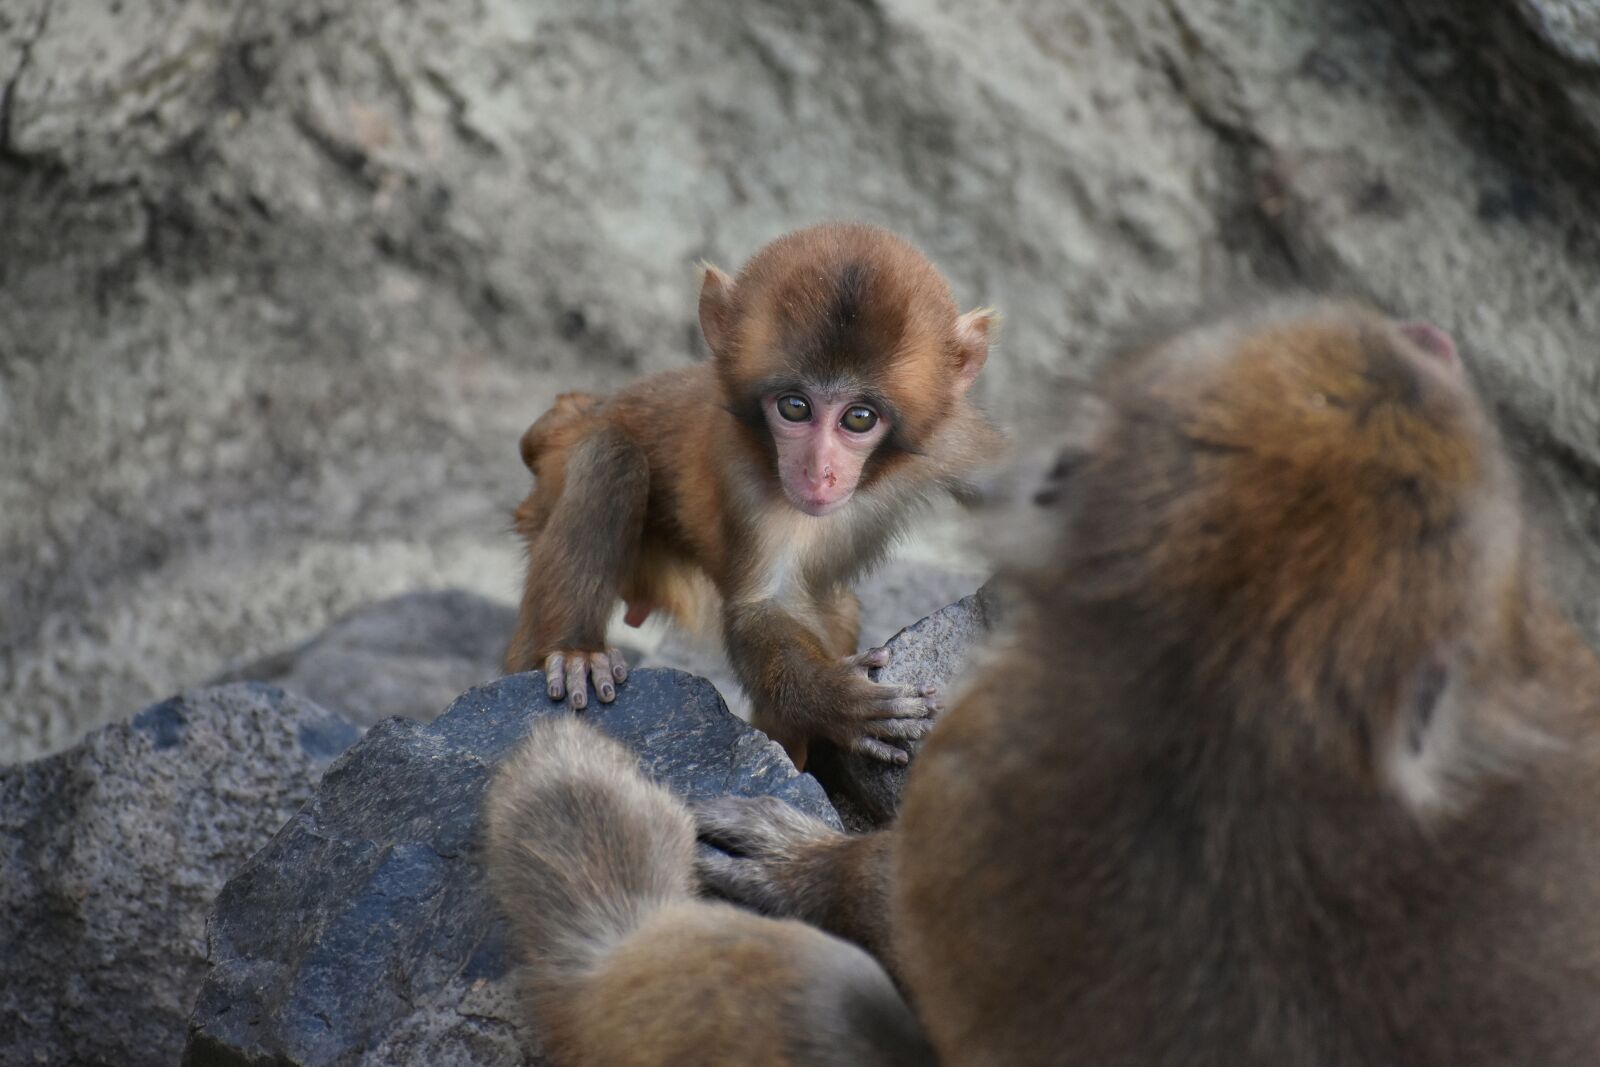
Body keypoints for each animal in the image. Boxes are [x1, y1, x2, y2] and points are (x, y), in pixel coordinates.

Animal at [504, 223, 1005, 769]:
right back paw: (575, 652)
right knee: (609, 453)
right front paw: (836, 699)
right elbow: (763, 605)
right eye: (794, 407)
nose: (818, 472)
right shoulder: (743, 471)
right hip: (555, 477)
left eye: (859, 418)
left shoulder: (954, 436)